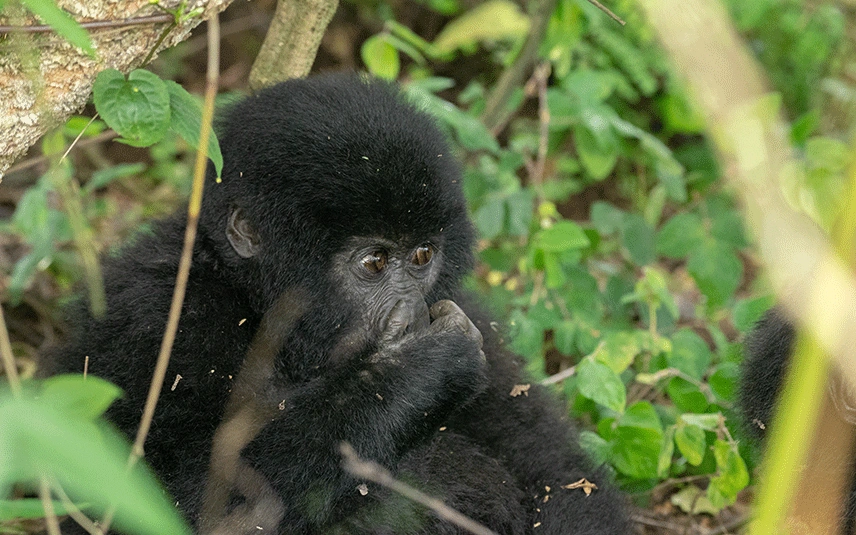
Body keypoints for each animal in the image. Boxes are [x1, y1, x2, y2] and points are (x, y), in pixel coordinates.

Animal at [43, 72, 632, 535]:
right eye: (373, 263)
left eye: (422, 255)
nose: (412, 309)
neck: (256, 304)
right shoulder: (157, 315)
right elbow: (170, 501)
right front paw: (422, 367)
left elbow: (559, 476)